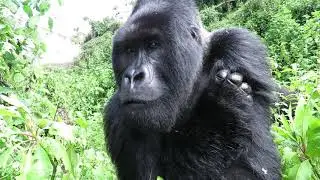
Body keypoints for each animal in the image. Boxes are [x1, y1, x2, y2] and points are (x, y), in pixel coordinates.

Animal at [104, 0, 280, 179]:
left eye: (153, 45)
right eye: (130, 51)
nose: (133, 76)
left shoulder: (239, 46)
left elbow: (253, 166)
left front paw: (225, 106)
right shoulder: (117, 115)